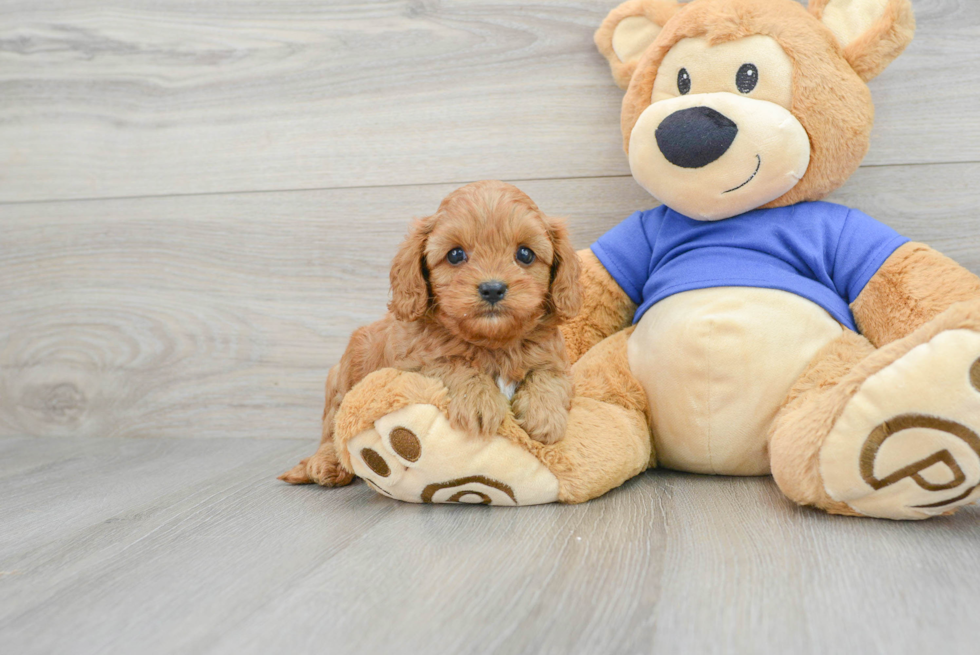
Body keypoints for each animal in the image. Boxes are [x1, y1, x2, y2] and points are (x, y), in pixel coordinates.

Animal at [278, 179, 580, 486]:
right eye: (455, 255)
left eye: (525, 254)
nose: (493, 288)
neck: (492, 342)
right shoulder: (413, 365)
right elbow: (452, 363)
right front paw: (479, 401)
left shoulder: (557, 360)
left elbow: (549, 376)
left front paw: (545, 416)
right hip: (342, 378)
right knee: (332, 429)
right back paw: (325, 464)